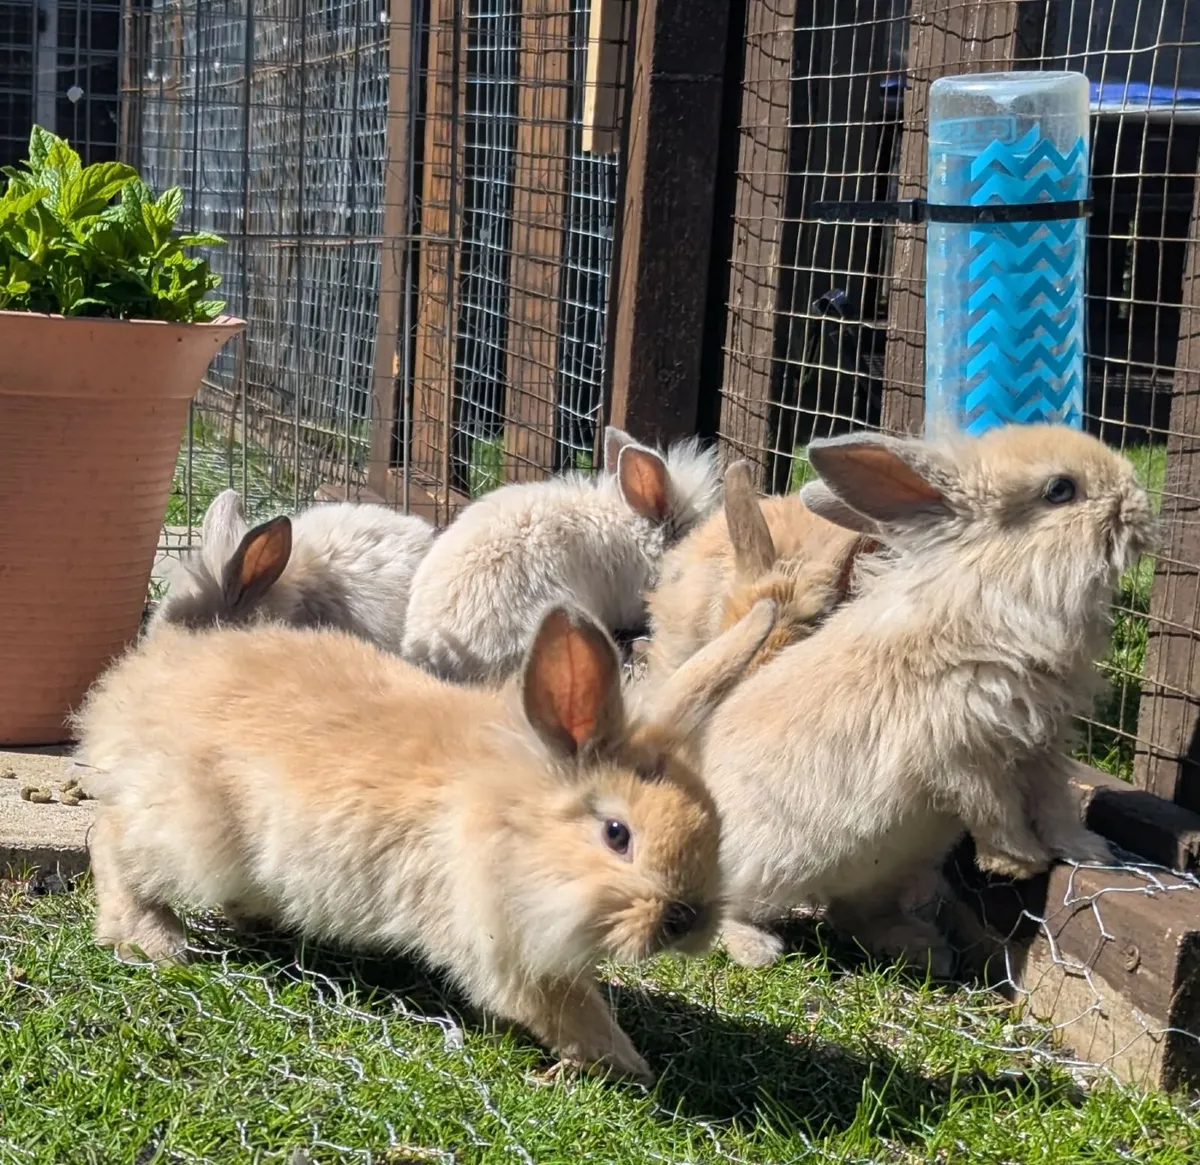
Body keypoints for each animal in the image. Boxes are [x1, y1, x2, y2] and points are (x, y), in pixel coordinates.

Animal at [73, 597, 779, 1083]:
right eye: (616, 834)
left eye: (712, 826)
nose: (688, 920)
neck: (514, 821)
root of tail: (135, 688)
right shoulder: (504, 949)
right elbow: (566, 1010)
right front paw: (624, 1064)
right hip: (190, 837)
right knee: (111, 841)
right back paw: (152, 940)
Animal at [693, 424, 1156, 975]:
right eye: (1060, 490)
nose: (1140, 502)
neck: (995, 588)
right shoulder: (962, 753)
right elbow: (996, 811)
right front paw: (1022, 862)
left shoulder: (1044, 743)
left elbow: (1057, 807)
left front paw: (1094, 853)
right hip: (768, 871)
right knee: (731, 909)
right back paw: (757, 948)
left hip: (887, 872)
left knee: (852, 914)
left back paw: (925, 950)